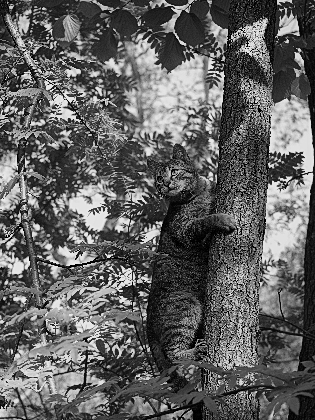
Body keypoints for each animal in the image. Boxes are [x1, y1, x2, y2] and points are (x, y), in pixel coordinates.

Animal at [146, 144, 237, 420]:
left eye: (174, 171)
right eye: (158, 178)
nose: (165, 184)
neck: (197, 193)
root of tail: (147, 323)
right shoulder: (187, 230)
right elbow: (204, 220)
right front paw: (222, 218)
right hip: (185, 305)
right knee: (174, 353)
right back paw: (195, 351)